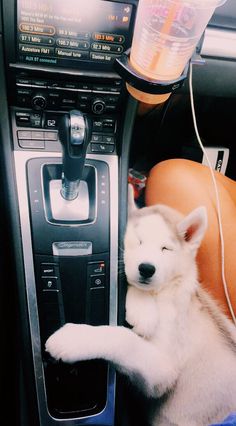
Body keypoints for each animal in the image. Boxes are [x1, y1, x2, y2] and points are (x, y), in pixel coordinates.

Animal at [45, 186, 236, 426]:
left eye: (166, 249)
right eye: (139, 241)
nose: (146, 268)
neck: (164, 293)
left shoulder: (164, 371)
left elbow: (123, 339)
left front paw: (75, 338)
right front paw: (142, 312)